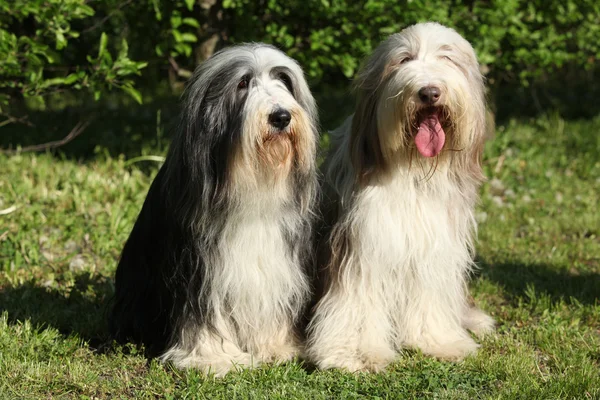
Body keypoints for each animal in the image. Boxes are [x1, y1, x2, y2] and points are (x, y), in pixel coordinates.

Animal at [110, 43, 322, 376]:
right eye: (243, 83)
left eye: (284, 81)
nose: (281, 116)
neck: (252, 182)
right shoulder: (198, 267)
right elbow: (202, 314)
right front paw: (214, 357)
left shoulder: (275, 261)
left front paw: (277, 347)